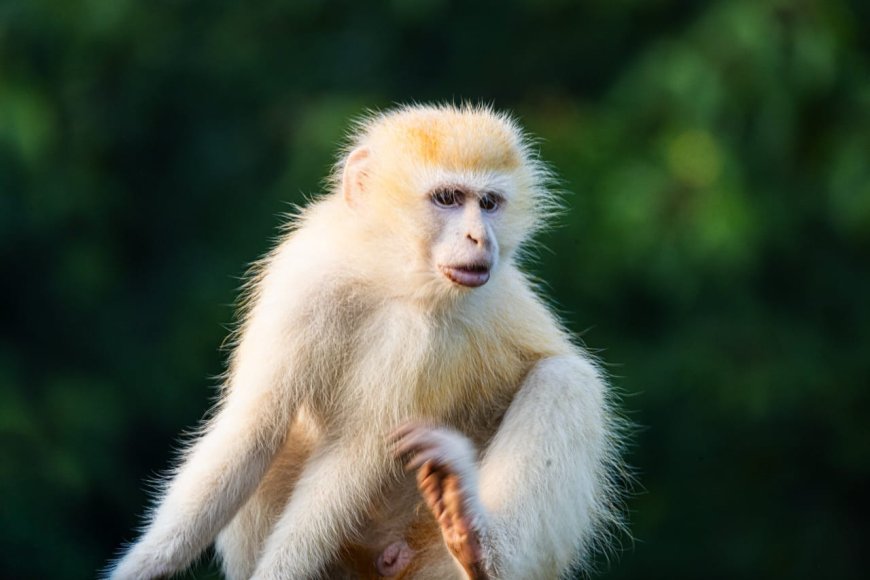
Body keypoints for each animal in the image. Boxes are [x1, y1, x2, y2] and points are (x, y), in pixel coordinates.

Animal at [107, 103, 625, 580]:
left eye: (490, 203)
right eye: (449, 198)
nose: (480, 238)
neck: (387, 277)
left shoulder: (424, 340)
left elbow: (355, 454)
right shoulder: (306, 275)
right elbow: (256, 428)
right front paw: (144, 566)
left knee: (566, 379)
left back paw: (478, 545)